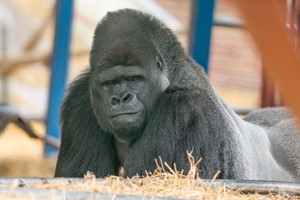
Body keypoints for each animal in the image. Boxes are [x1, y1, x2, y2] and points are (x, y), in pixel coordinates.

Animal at [54, 9, 300, 181]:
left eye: (135, 79)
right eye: (109, 84)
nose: (121, 99)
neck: (174, 75)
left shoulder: (185, 109)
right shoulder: (81, 99)